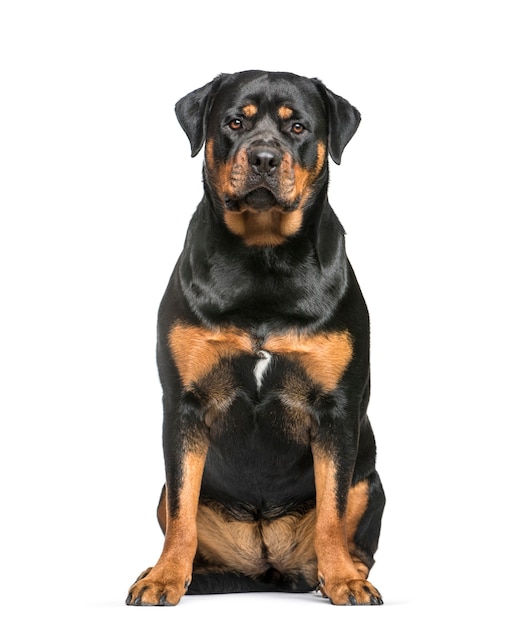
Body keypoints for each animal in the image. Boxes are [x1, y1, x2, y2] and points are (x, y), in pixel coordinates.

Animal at [126, 68, 386, 604]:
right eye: (234, 122)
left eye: (298, 127)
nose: (263, 157)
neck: (263, 256)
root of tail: (268, 566)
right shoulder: (183, 405)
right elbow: (182, 509)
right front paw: (164, 579)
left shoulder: (336, 410)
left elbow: (332, 510)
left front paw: (343, 580)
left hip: (370, 481)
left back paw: (344, 572)